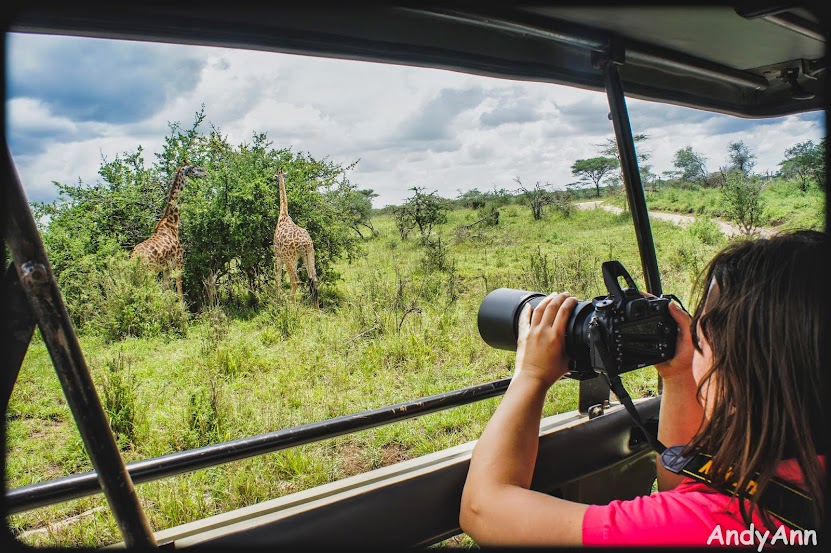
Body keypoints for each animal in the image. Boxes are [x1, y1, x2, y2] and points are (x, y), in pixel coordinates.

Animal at [132, 163, 208, 300]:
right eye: (195, 168)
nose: (205, 173)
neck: (172, 223)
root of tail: (133, 257)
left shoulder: (165, 268)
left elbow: (166, 290)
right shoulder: (178, 260)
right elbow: (179, 290)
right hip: (150, 272)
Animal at [276, 167, 322, 310]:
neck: (283, 214)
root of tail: (305, 243)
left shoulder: (277, 255)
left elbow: (278, 277)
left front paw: (278, 297)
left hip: (289, 258)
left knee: (295, 280)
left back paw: (292, 304)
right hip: (309, 254)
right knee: (313, 279)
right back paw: (316, 308)